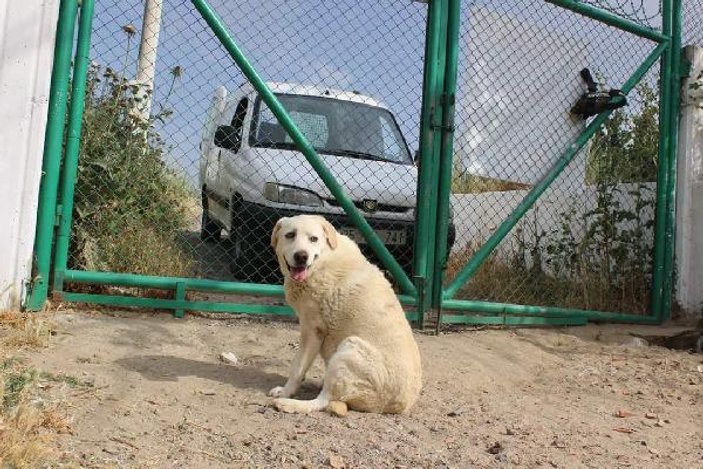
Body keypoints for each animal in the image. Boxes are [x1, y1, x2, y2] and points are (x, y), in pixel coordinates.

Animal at [270, 213, 424, 414]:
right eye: (290, 235)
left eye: (313, 239)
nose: (302, 256)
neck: (323, 262)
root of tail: (399, 405)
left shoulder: (312, 330)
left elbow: (297, 368)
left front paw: (286, 392)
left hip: (349, 349)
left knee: (323, 400)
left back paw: (289, 404)